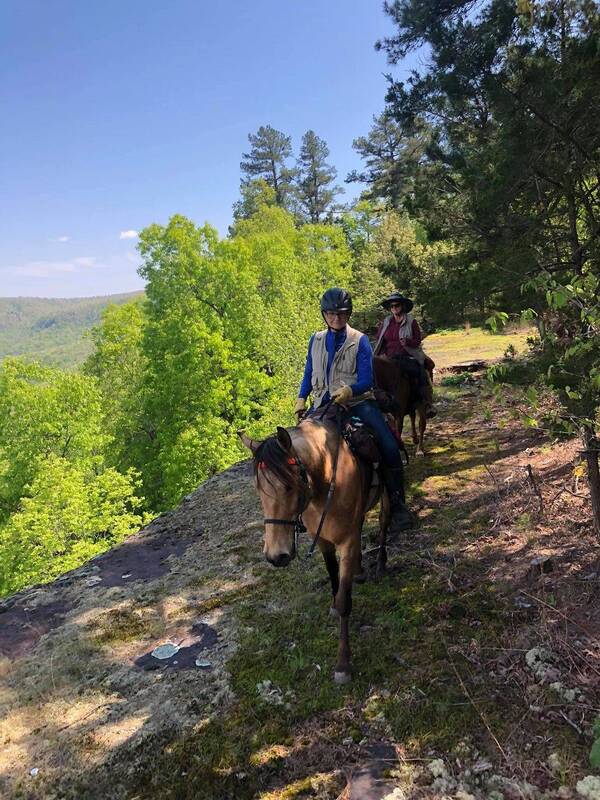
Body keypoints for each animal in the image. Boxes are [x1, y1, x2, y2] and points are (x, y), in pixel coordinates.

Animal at [240, 416, 390, 684]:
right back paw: (359, 570)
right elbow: (334, 582)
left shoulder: (347, 542)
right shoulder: (323, 542)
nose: (276, 556)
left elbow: (344, 601)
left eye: (289, 487)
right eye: (258, 489)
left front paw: (343, 664)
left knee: (384, 521)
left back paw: (381, 563)